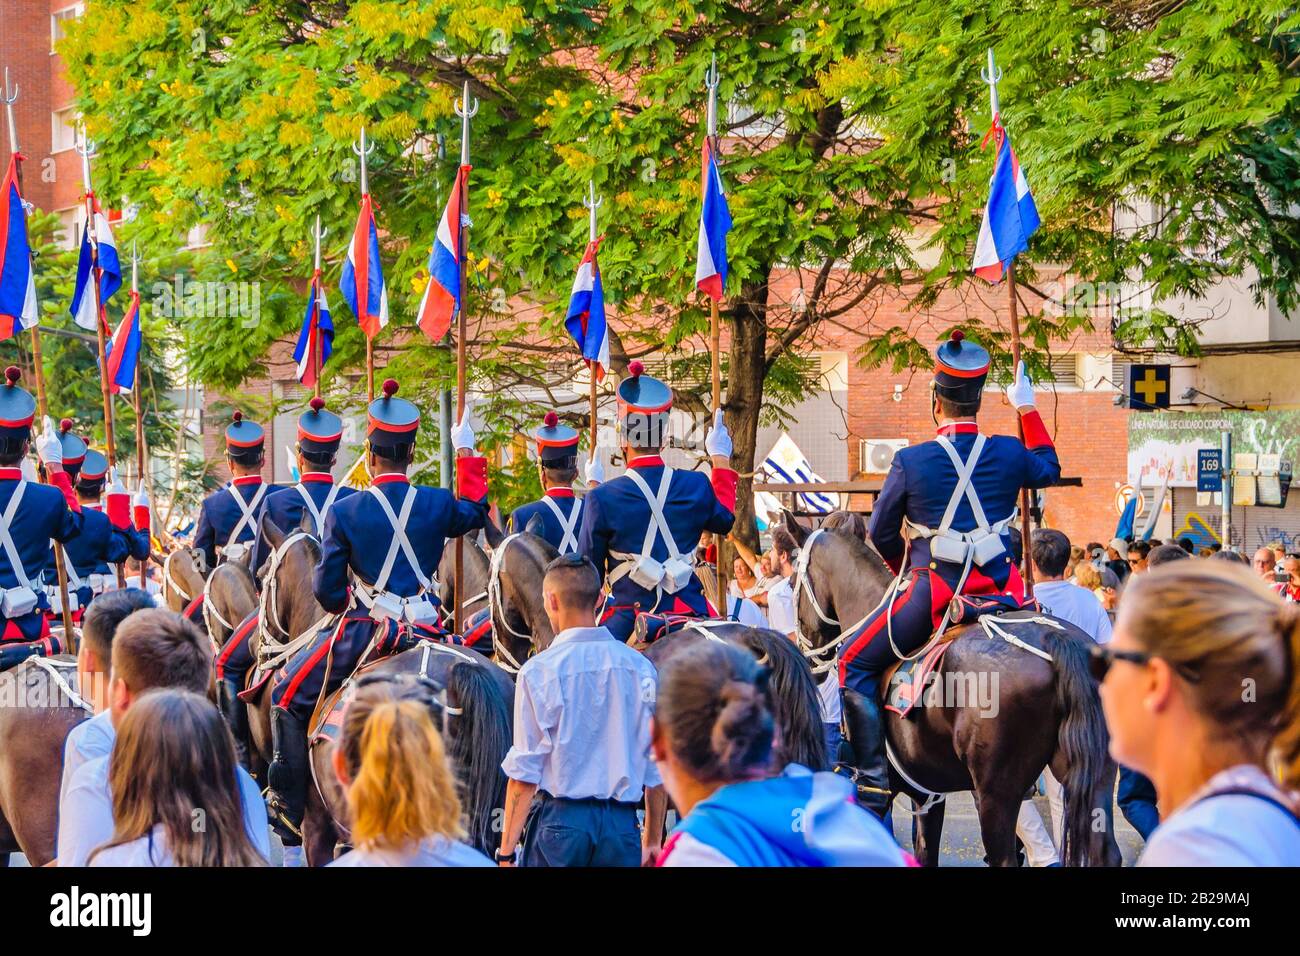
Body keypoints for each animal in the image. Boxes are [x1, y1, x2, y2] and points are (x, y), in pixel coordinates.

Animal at [780, 512, 1128, 868]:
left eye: (792, 584)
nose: (808, 660)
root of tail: (1056, 640)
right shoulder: (928, 796)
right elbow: (924, 853)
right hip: (1092, 778)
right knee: (1105, 852)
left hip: (997, 793)